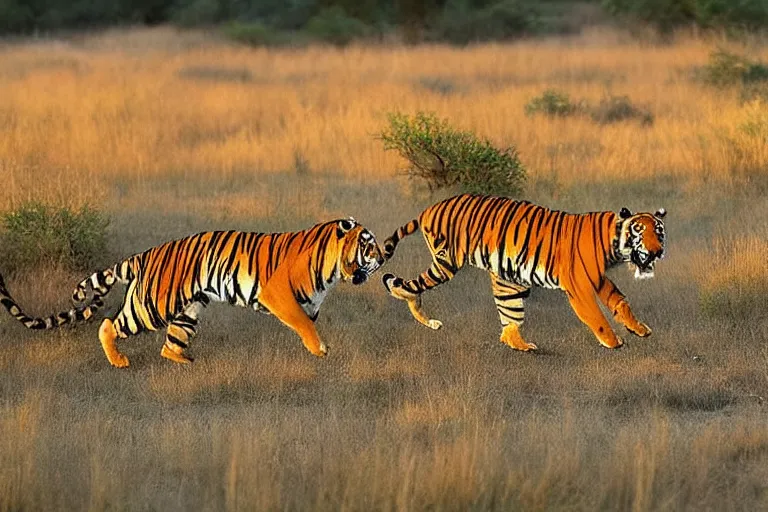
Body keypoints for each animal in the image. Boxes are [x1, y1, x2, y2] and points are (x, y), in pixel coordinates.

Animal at [0, 218, 384, 366]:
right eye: (369, 244)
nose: (383, 257)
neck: (334, 268)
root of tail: (145, 254)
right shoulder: (278, 294)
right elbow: (303, 323)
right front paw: (319, 349)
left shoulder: (310, 302)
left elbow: (309, 319)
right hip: (150, 307)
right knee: (109, 325)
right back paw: (119, 360)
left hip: (187, 311)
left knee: (169, 346)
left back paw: (185, 361)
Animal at [382, 193, 664, 352]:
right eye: (640, 232)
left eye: (659, 232)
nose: (658, 251)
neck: (612, 246)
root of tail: (429, 209)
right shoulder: (580, 285)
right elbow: (596, 316)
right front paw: (613, 342)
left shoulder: (598, 278)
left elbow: (619, 301)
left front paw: (639, 328)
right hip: (446, 263)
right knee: (406, 286)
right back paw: (424, 315)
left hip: (509, 282)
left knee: (509, 323)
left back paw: (522, 346)